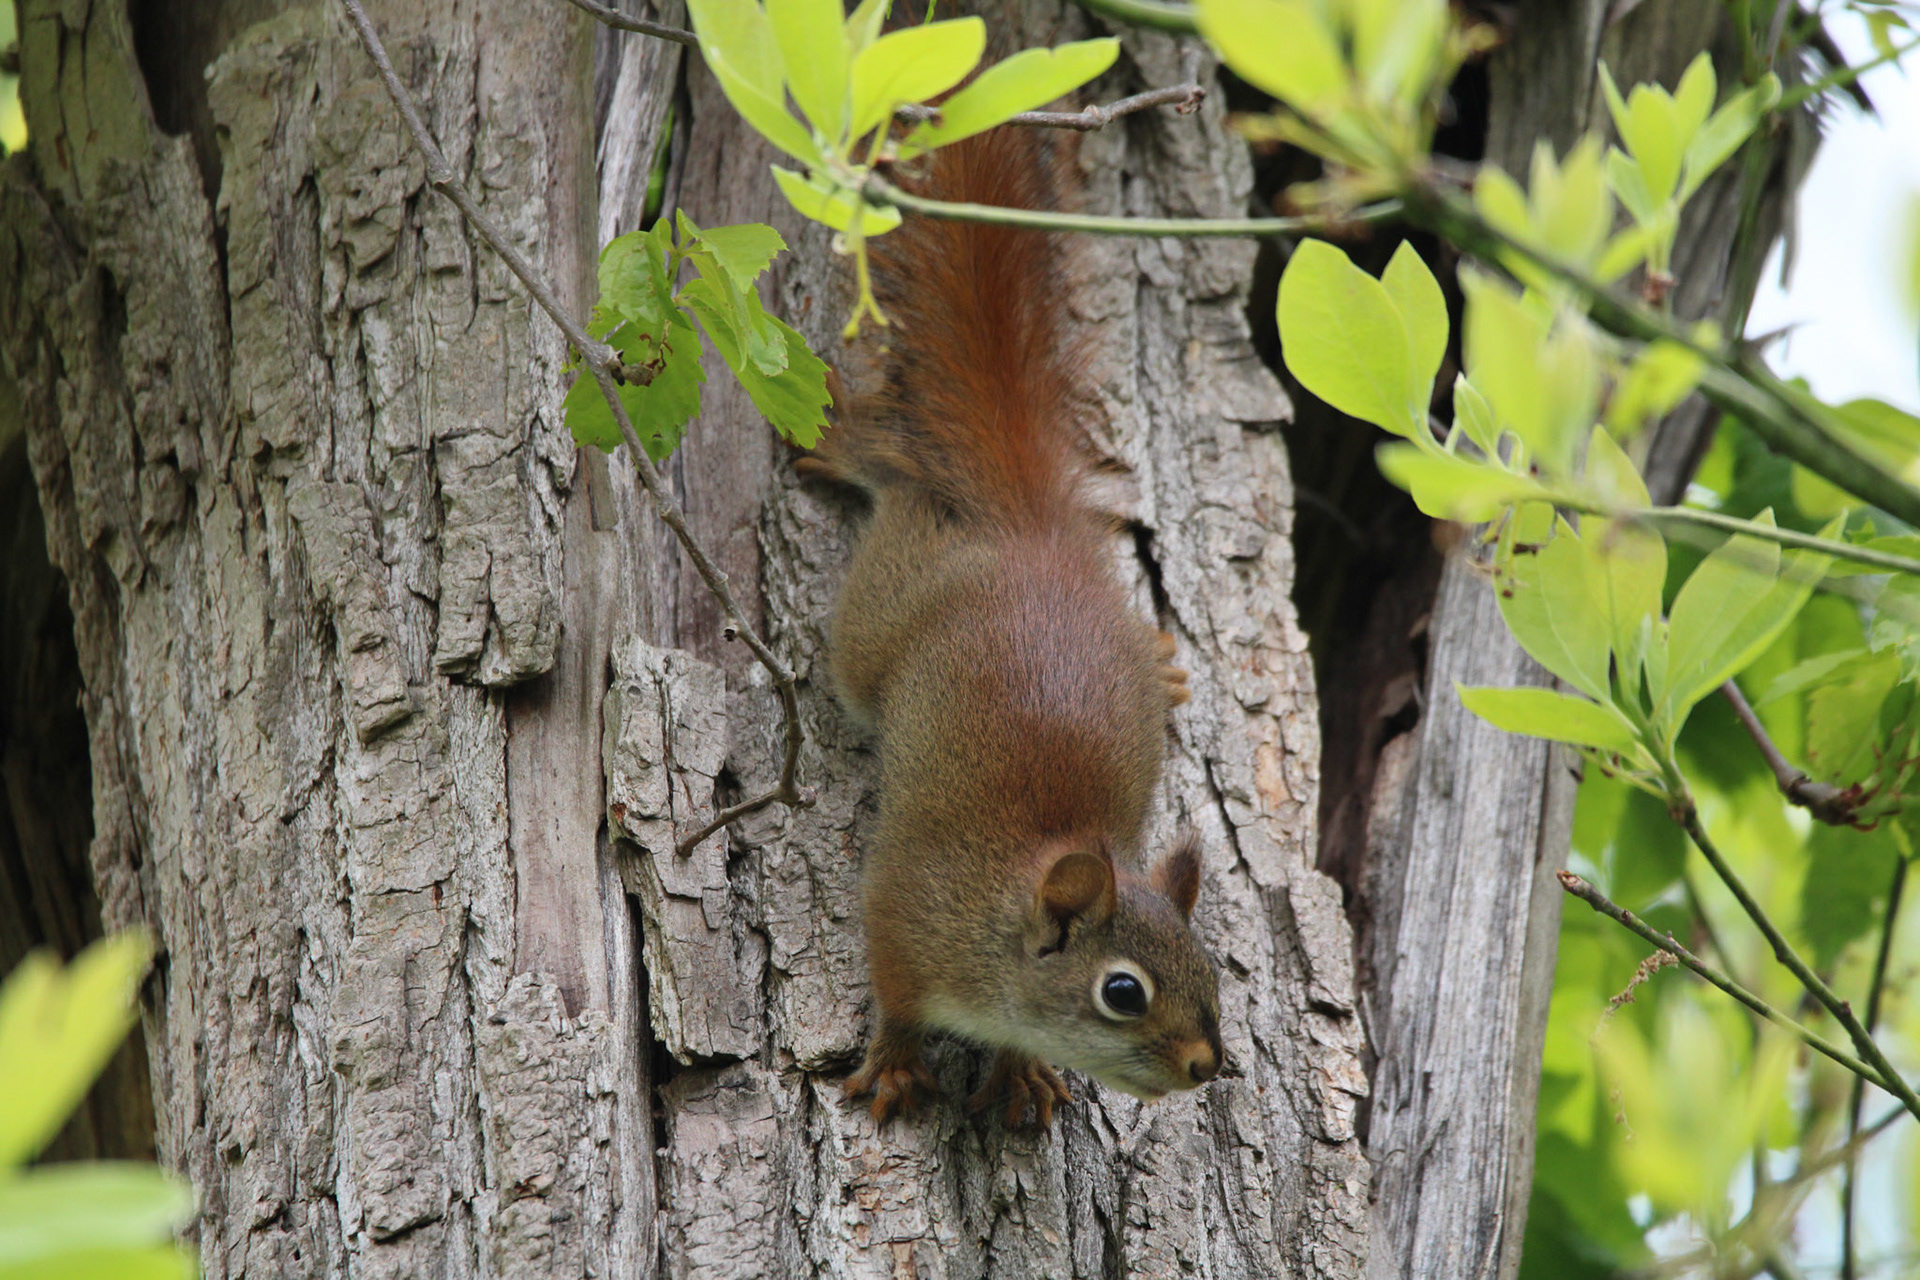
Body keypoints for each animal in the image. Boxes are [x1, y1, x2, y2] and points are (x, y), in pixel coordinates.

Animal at [800, 125, 1225, 1128]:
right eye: (1123, 992)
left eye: (1212, 975)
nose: (1207, 1065)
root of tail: (1028, 532)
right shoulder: (905, 916)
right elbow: (896, 998)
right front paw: (896, 1065)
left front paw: (1022, 1076)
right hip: (877, 618)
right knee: (893, 484)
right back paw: (843, 442)